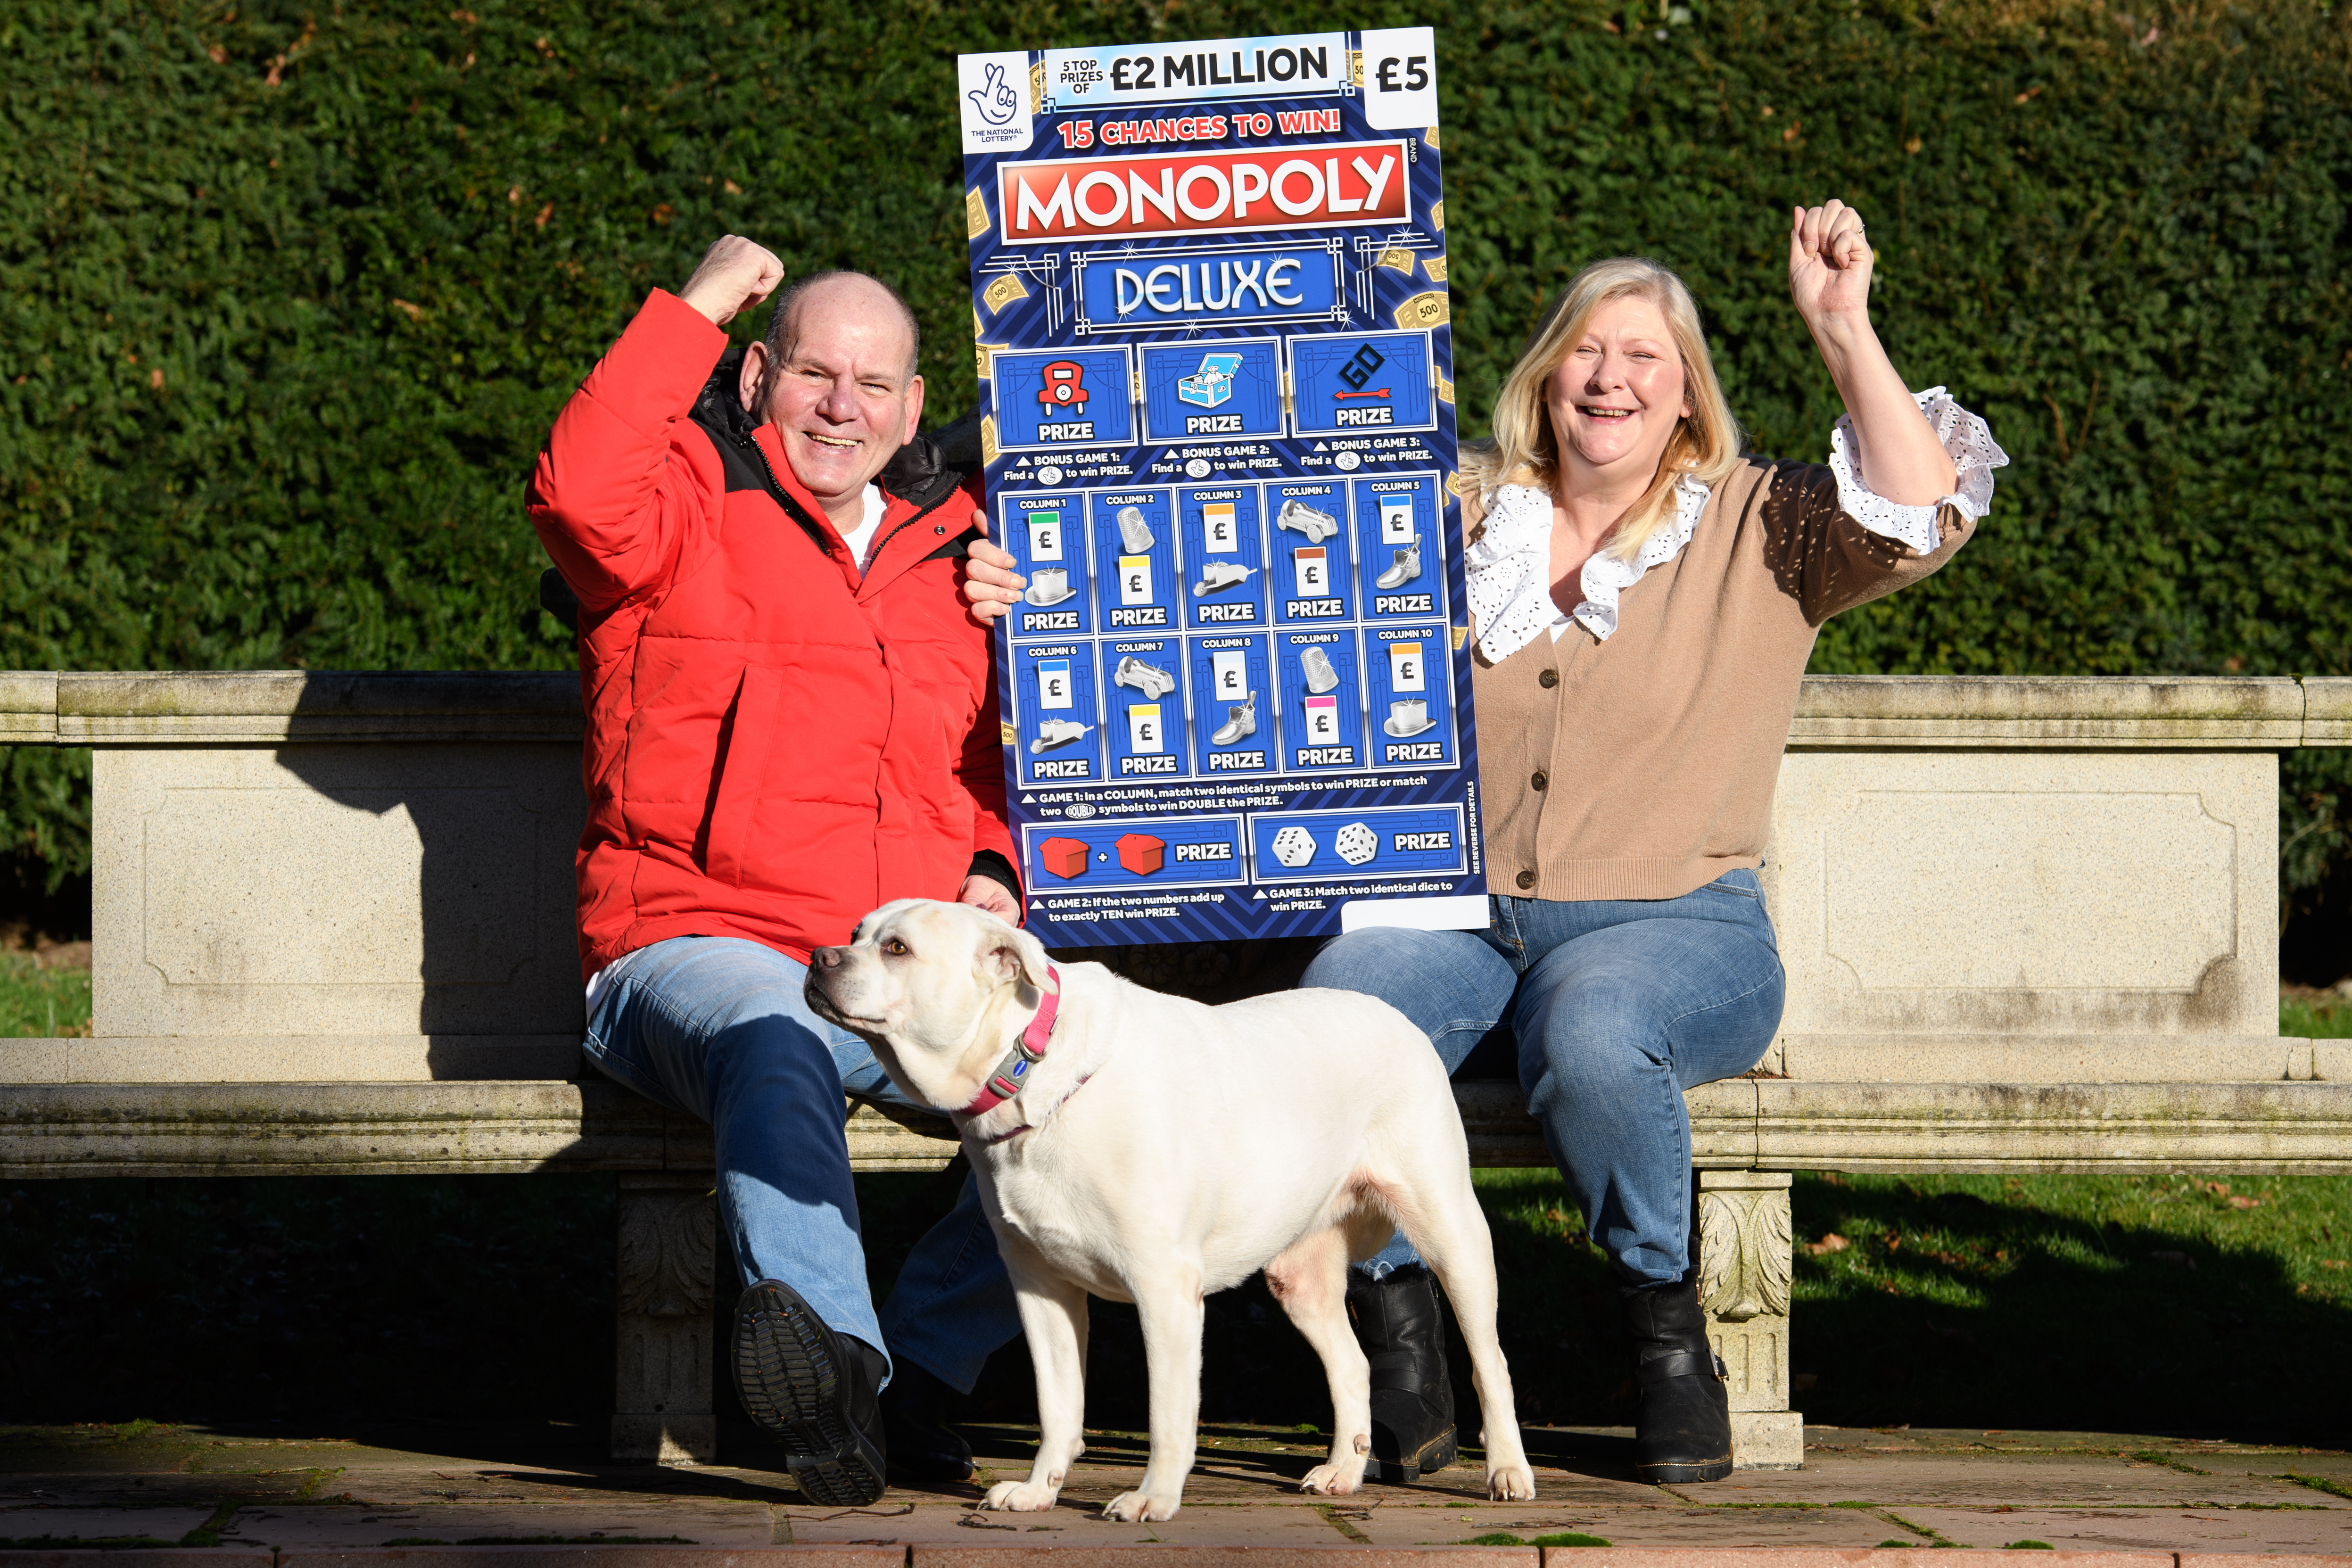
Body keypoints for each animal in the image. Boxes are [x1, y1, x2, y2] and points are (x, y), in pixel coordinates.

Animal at [809, 902, 1543, 1523]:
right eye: (857, 930)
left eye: (898, 949)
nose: (819, 955)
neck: (1028, 1069)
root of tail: (1393, 1014)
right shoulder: (1040, 1287)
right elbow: (1058, 1405)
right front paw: (1040, 1489)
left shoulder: (1162, 1288)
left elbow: (1167, 1412)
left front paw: (1152, 1498)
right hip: (1299, 1273)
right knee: (1351, 1363)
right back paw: (1343, 1471)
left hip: (1451, 1230)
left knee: (1491, 1360)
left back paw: (1508, 1472)